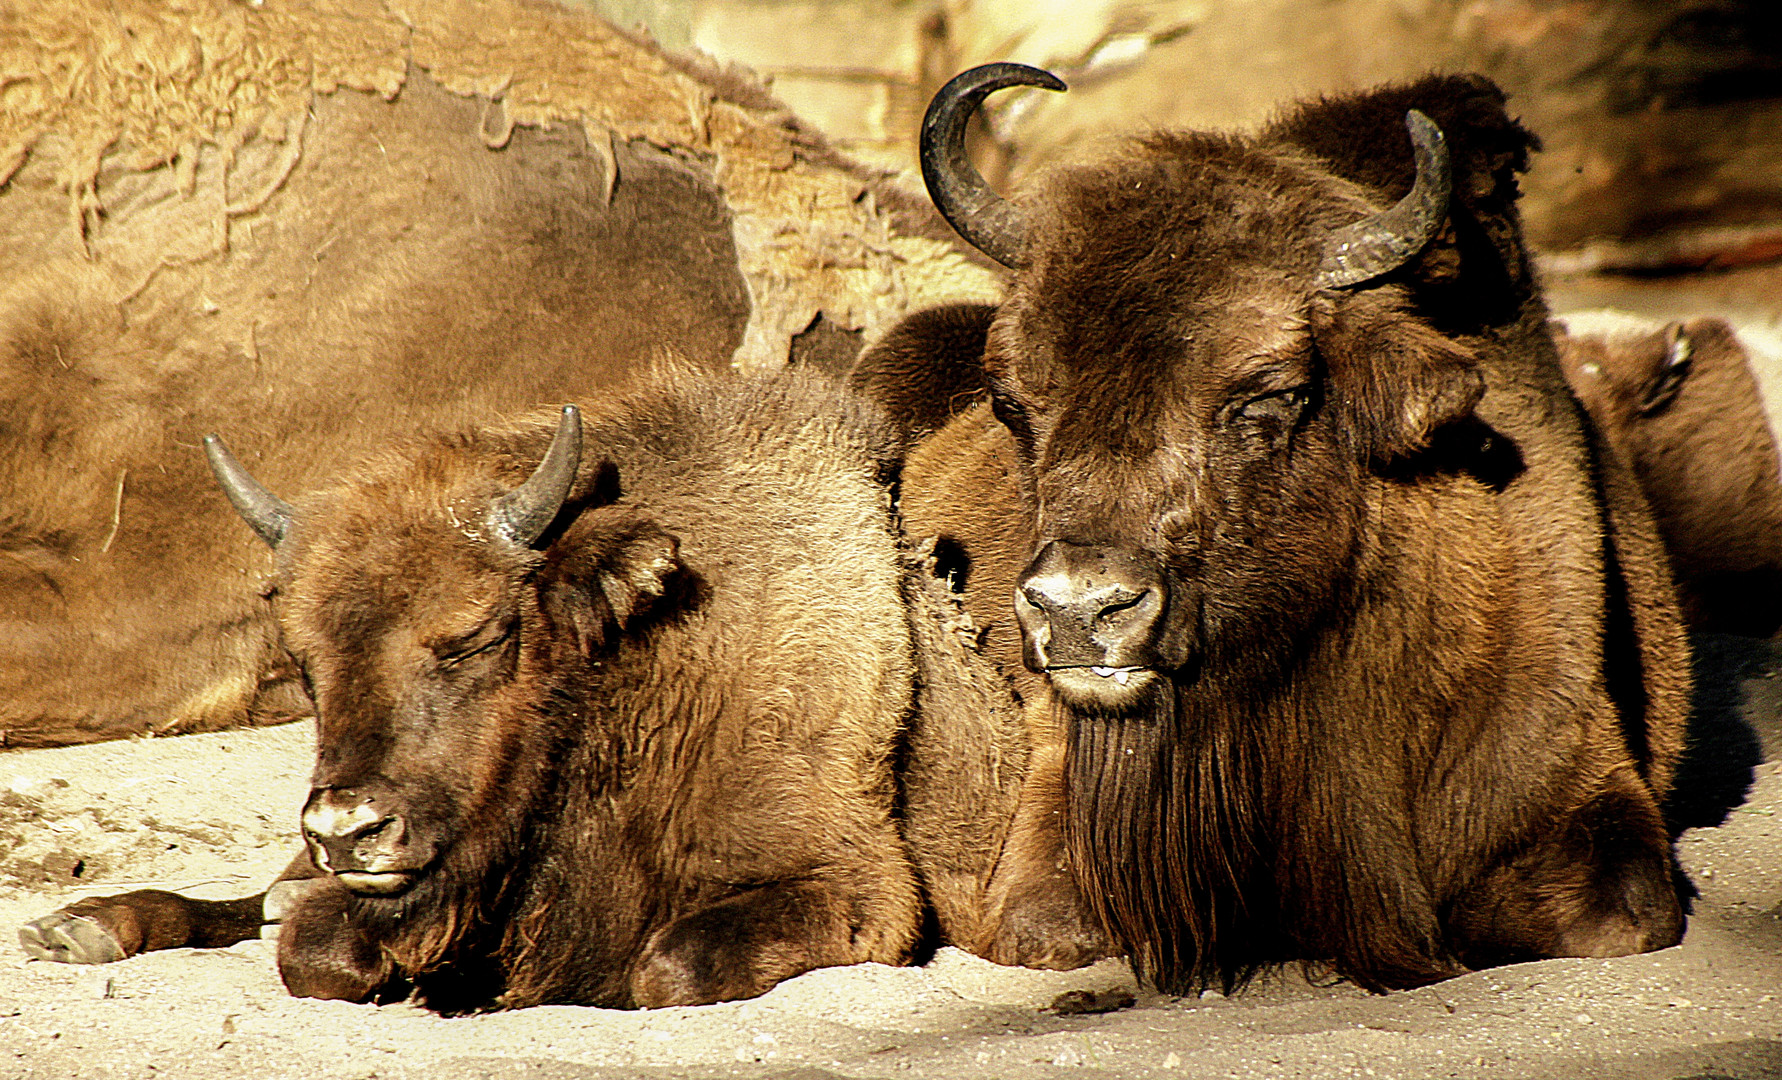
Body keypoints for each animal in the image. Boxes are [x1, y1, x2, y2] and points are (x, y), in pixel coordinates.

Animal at [24, 374, 948, 1012]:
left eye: (477, 637)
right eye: (305, 661)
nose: (347, 831)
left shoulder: (860, 888)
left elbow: (669, 967)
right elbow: (311, 949)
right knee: (263, 900)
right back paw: (83, 925)